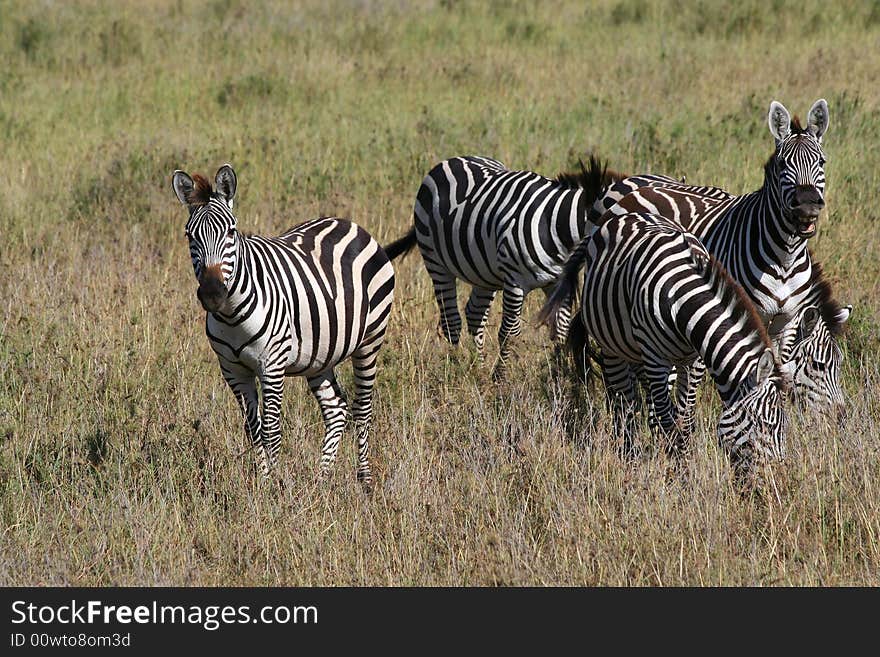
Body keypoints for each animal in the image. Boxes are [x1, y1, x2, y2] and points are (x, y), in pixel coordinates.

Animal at [169, 163, 396, 486]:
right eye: (190, 235)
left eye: (231, 232)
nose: (212, 294)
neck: (231, 315)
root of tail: (349, 224)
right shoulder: (233, 370)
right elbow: (253, 430)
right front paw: (261, 483)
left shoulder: (272, 366)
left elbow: (271, 431)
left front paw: (274, 487)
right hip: (319, 355)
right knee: (336, 409)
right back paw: (321, 480)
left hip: (370, 341)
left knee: (362, 410)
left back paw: (363, 479)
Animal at [384, 155, 620, 380]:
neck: (556, 225)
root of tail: (453, 160)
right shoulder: (515, 282)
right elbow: (509, 332)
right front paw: (500, 378)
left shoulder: (557, 283)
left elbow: (560, 330)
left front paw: (560, 376)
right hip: (436, 262)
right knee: (451, 321)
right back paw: (457, 368)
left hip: (484, 273)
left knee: (475, 315)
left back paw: (477, 368)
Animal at [536, 213, 792, 474]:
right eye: (765, 425)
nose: (780, 476)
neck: (683, 302)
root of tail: (621, 216)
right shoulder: (655, 358)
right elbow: (667, 421)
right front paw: (678, 473)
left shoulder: (694, 362)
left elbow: (685, 418)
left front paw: (681, 461)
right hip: (613, 347)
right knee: (624, 403)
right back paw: (629, 455)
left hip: (640, 352)